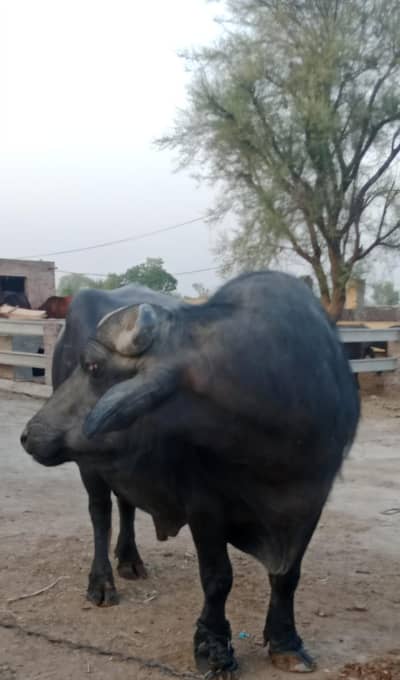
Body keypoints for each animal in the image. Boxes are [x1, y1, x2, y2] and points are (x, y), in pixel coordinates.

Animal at [21, 271, 359, 676]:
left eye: (93, 367)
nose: (29, 434)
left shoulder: (310, 503)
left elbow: (287, 577)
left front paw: (286, 641)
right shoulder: (204, 505)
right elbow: (218, 578)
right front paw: (214, 648)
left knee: (126, 504)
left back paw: (130, 559)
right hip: (89, 463)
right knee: (100, 514)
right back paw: (102, 582)